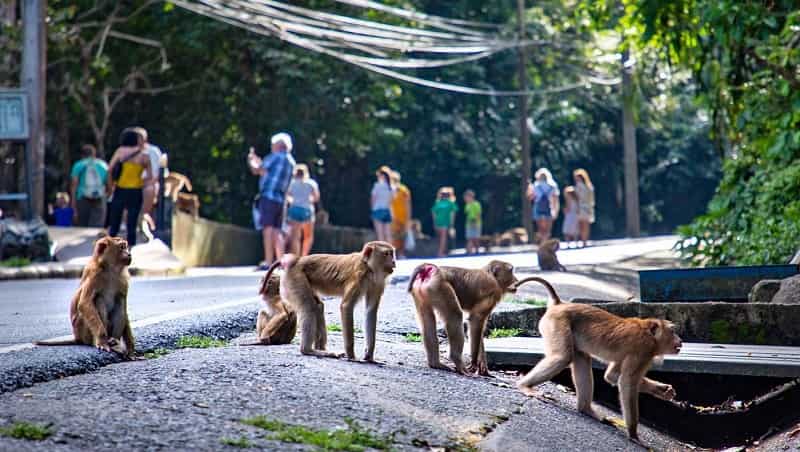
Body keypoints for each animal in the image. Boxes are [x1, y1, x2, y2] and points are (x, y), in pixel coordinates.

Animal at [262, 242, 396, 362]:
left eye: (392, 253)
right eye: (387, 254)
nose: (394, 262)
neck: (368, 268)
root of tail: (296, 260)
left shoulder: (378, 283)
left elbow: (370, 311)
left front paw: (369, 355)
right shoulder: (358, 277)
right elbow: (346, 306)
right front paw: (351, 355)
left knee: (318, 306)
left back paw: (321, 349)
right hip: (295, 278)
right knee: (309, 307)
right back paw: (308, 350)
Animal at [512, 276, 680, 442]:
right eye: (672, 331)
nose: (680, 340)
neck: (651, 336)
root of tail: (560, 304)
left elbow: (612, 376)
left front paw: (661, 390)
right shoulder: (643, 351)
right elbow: (627, 382)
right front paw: (633, 434)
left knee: (581, 358)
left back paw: (586, 409)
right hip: (557, 323)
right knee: (562, 357)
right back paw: (524, 386)